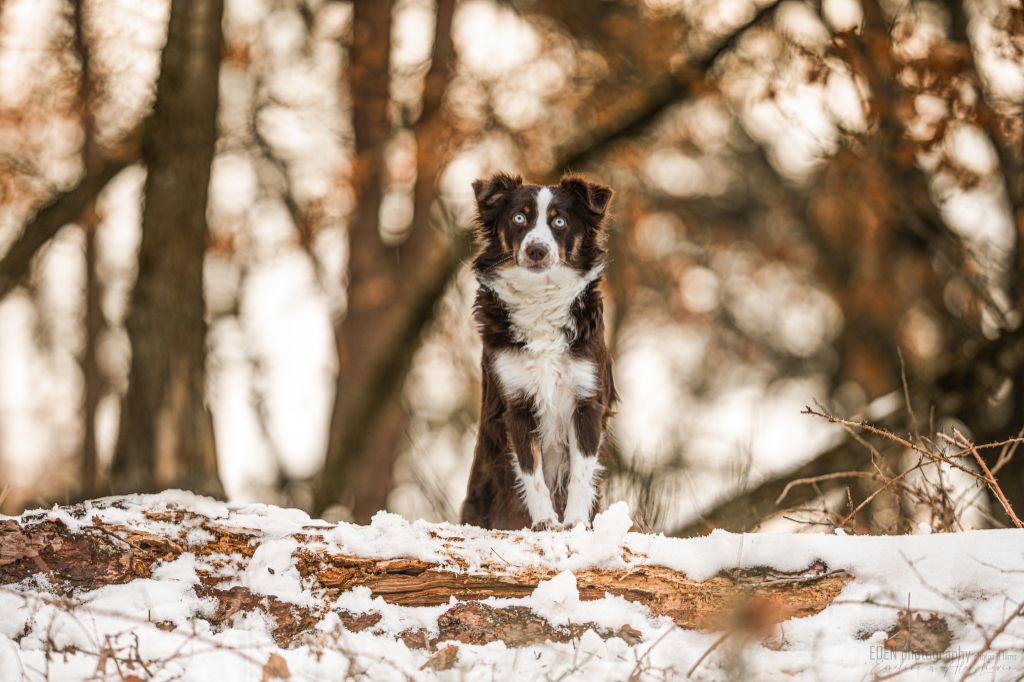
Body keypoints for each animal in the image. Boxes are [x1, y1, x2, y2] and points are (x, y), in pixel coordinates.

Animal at [462, 171, 614, 532]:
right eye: (519, 218)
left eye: (559, 221)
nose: (536, 251)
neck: (540, 299)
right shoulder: (517, 403)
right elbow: (532, 474)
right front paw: (545, 520)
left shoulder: (587, 401)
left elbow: (580, 474)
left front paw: (575, 521)